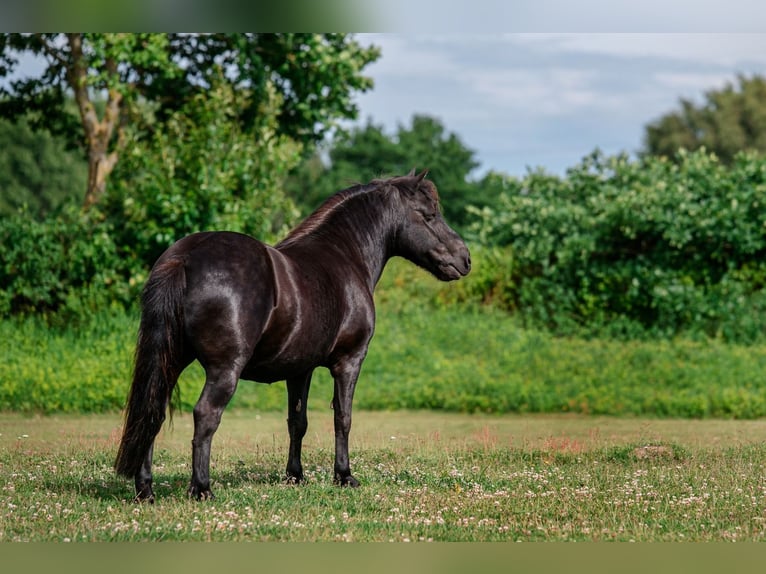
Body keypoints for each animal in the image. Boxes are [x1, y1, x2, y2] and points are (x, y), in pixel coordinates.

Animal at [114, 169, 471, 502]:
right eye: (429, 214)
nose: (465, 258)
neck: (345, 256)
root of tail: (184, 258)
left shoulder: (300, 368)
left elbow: (297, 421)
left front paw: (295, 476)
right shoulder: (349, 360)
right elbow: (343, 417)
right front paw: (344, 476)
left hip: (170, 361)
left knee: (153, 411)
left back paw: (145, 490)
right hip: (224, 369)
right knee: (205, 415)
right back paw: (202, 488)